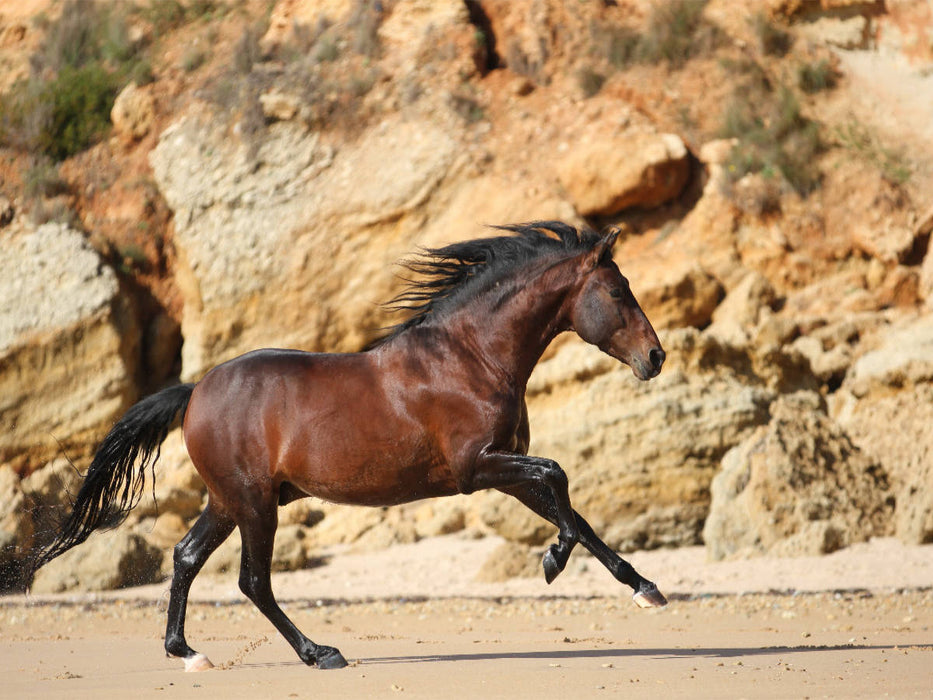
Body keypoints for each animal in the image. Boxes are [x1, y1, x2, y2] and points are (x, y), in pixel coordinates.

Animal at [29, 221, 668, 672]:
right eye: (618, 291)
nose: (656, 357)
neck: (471, 356)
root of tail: (195, 391)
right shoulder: (478, 467)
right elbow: (559, 478)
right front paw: (553, 562)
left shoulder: (504, 472)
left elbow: (575, 513)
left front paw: (645, 588)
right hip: (254, 504)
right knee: (253, 582)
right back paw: (320, 653)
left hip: (228, 501)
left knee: (187, 557)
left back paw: (187, 652)